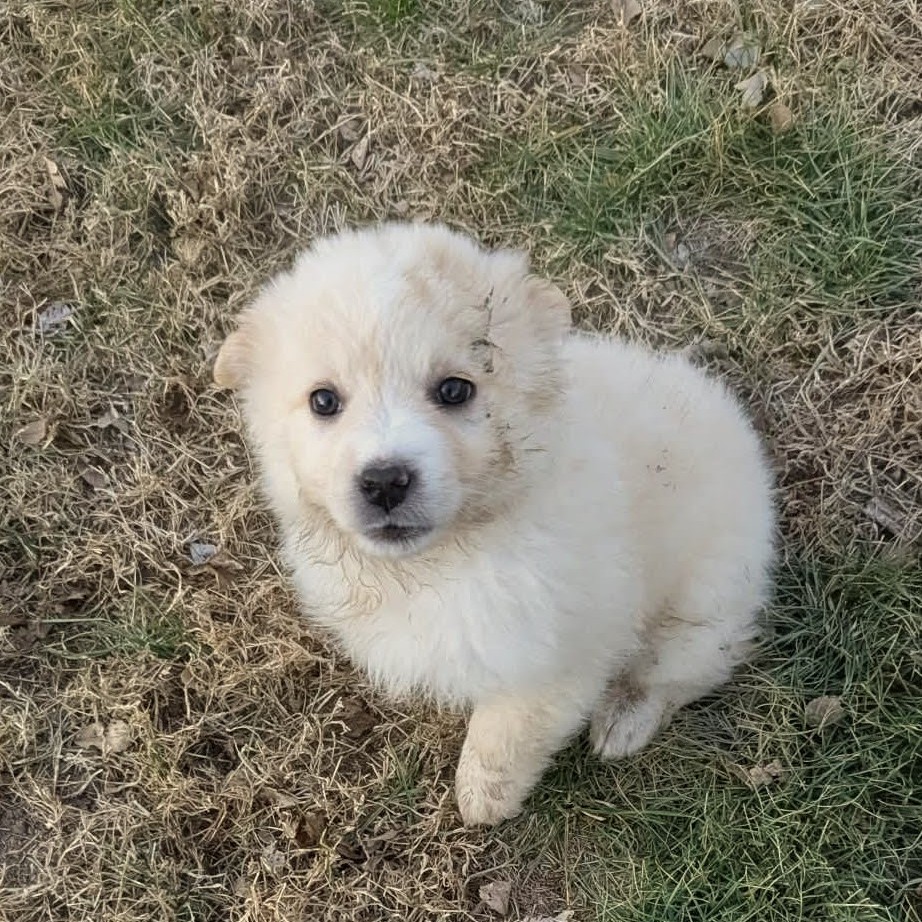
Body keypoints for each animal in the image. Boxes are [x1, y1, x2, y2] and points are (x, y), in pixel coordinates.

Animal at [213, 222, 775, 827]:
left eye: (454, 390)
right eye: (323, 401)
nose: (385, 481)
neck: (449, 554)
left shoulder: (554, 652)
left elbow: (504, 736)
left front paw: (482, 801)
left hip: (707, 596)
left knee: (689, 666)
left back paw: (625, 718)